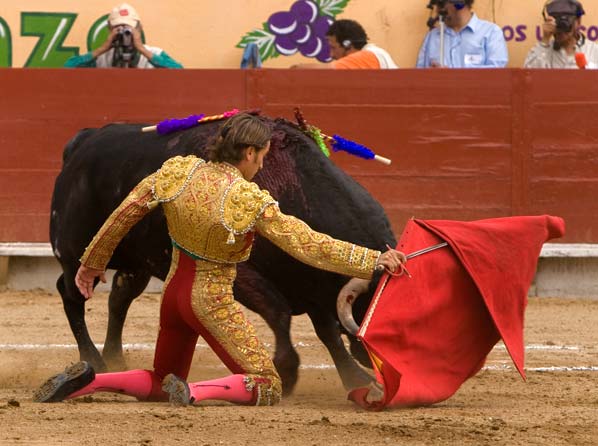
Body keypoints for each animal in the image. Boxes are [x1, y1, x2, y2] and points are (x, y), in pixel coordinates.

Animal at [51, 116, 396, 396]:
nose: (383, 364)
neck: (295, 187)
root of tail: (84, 140)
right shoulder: (248, 276)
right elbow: (280, 313)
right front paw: (286, 372)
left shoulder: (310, 282)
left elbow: (327, 332)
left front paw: (355, 379)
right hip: (74, 250)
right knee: (71, 293)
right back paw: (94, 359)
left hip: (138, 263)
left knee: (119, 298)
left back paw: (115, 358)